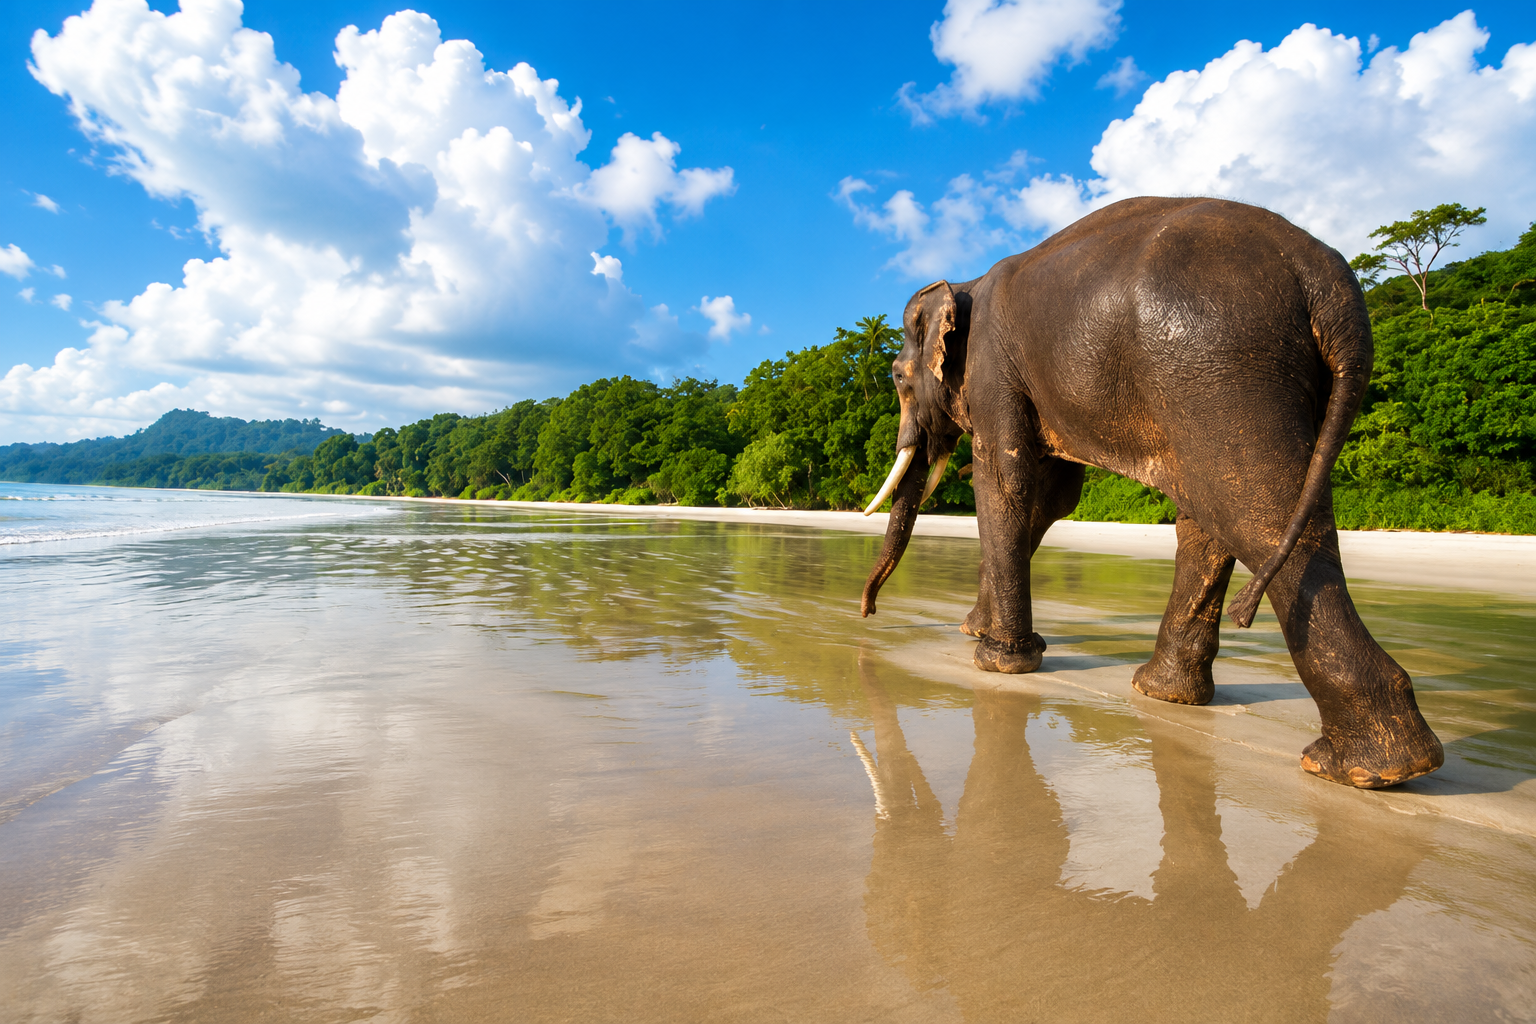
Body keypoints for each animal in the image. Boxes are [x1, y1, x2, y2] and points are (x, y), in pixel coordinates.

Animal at [858, 196, 1444, 790]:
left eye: (896, 377)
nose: (866, 612)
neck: (965, 282)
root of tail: (1326, 278)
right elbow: (1052, 496)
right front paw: (977, 632)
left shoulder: (994, 370)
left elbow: (1004, 480)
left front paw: (996, 660)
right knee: (1215, 514)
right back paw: (1168, 695)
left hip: (1218, 363)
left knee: (1255, 514)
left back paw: (1364, 768)